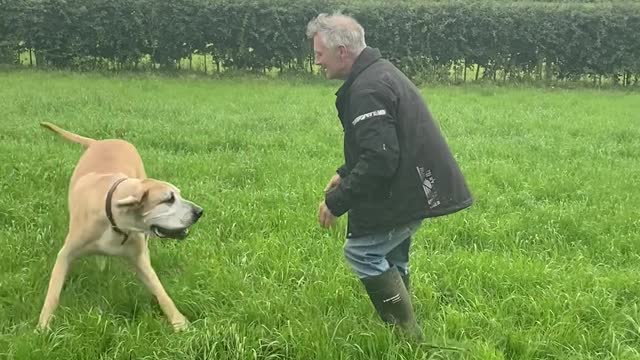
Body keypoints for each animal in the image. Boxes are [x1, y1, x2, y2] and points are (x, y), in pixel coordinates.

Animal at [37, 121, 202, 332]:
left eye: (178, 195)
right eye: (168, 199)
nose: (199, 211)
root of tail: (99, 141)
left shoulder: (139, 258)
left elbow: (160, 291)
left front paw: (179, 322)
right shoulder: (65, 254)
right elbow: (53, 292)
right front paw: (42, 327)